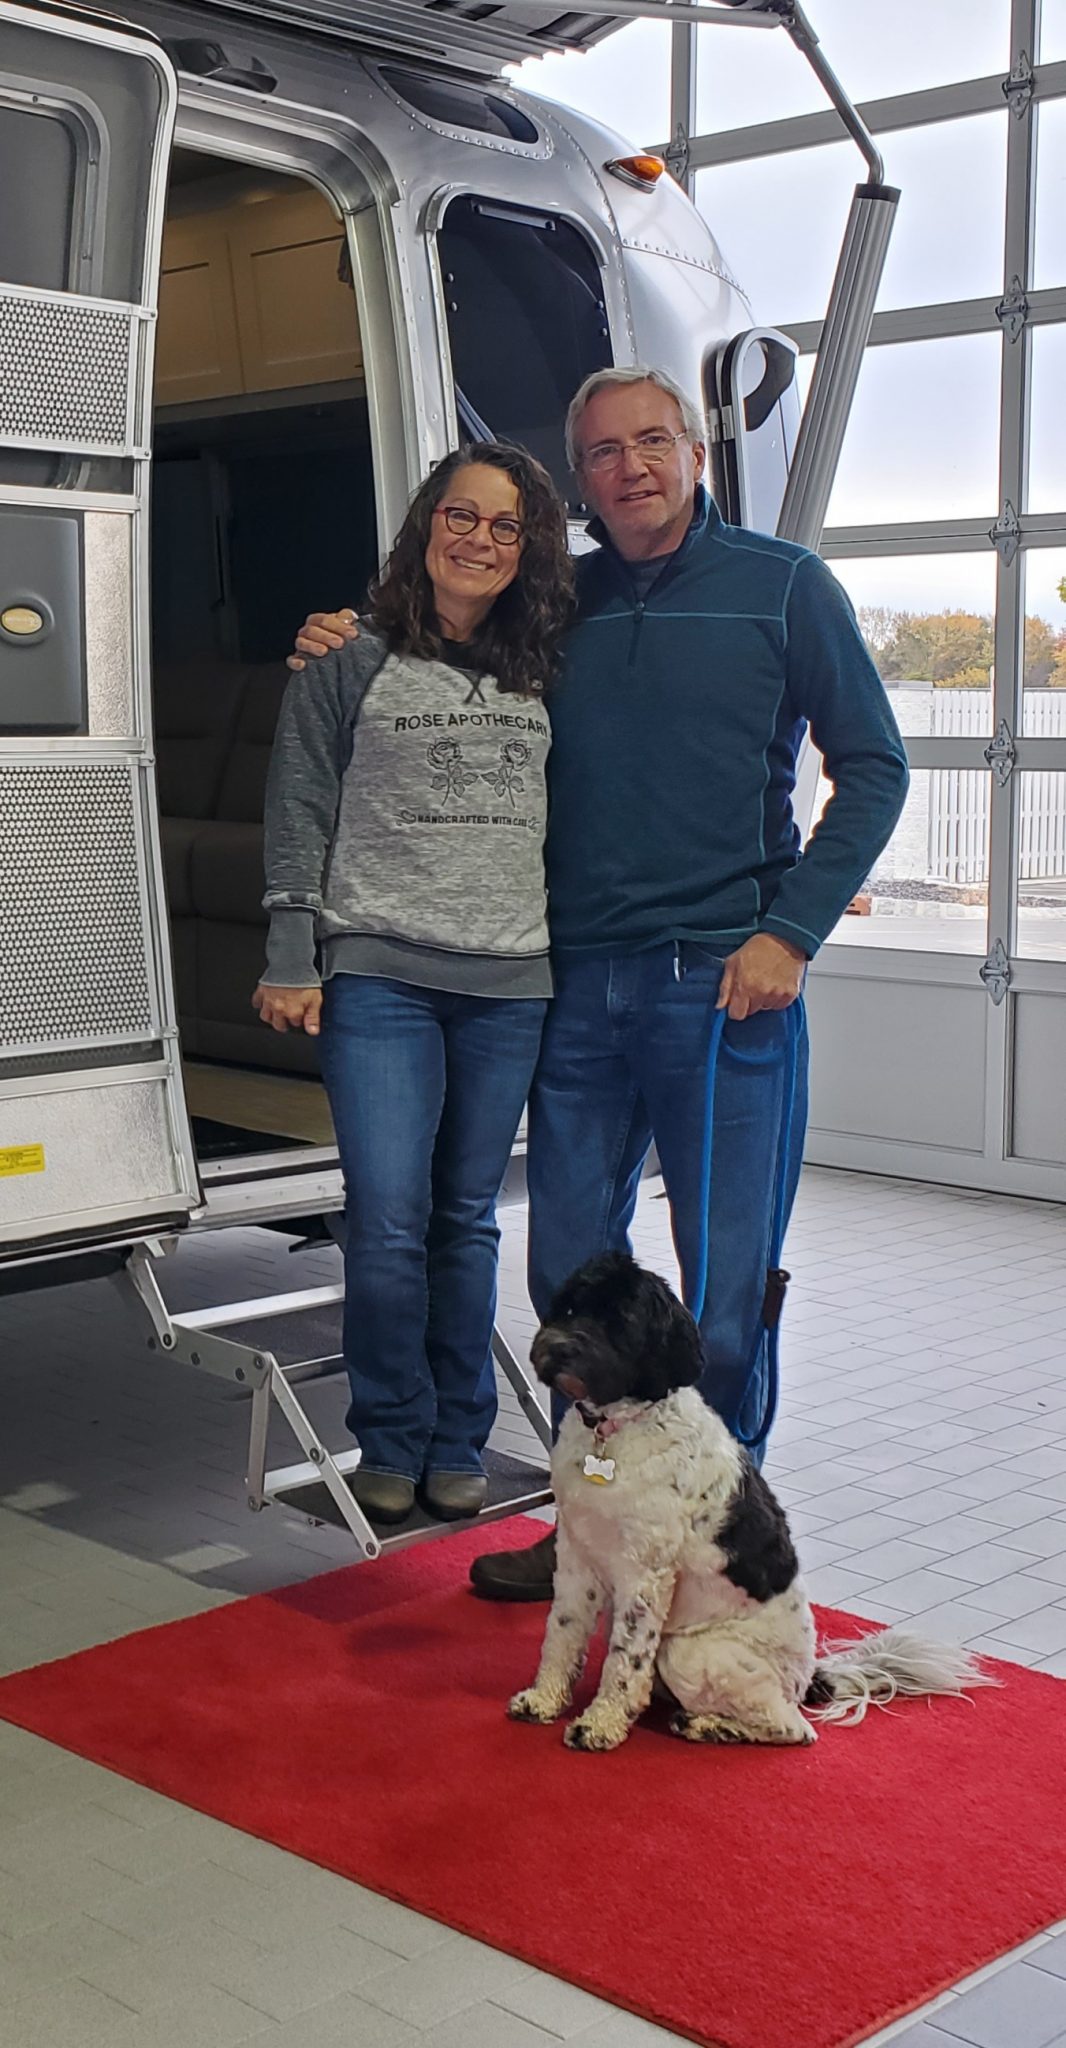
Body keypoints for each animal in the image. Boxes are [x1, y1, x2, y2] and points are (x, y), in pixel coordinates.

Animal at [508, 1253, 994, 1752]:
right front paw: (544, 1698)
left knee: (793, 1728)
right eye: (569, 1309)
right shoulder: (576, 1557)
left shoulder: (646, 1575)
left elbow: (625, 1661)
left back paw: (707, 1724)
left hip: (688, 1650)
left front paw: (600, 1724)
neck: (612, 1434)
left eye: (620, 1323)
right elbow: (562, 1634)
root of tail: (808, 1679)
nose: (560, 1349)